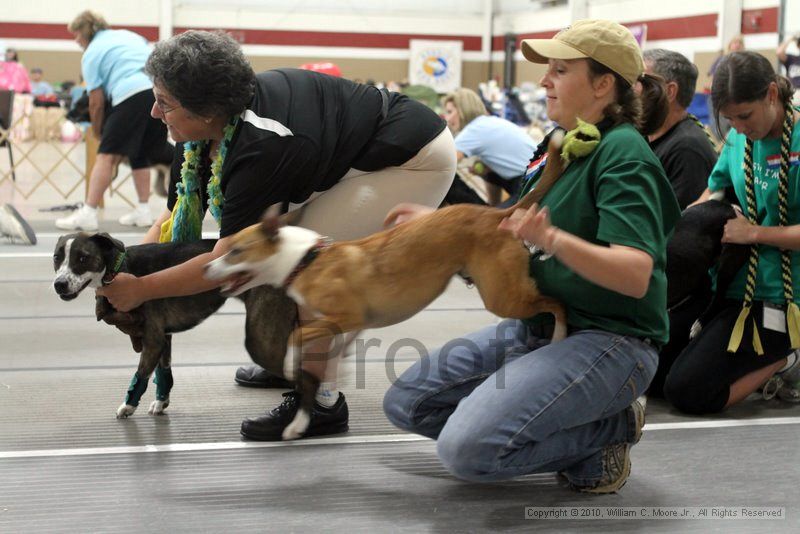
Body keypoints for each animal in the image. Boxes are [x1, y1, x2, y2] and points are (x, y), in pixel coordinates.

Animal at [54, 232, 296, 420]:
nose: (59, 284)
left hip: (262, 338)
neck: (120, 266)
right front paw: (161, 402)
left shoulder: (153, 338)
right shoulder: (163, 337)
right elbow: (163, 372)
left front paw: (128, 405)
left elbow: (141, 373)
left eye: (83, 258)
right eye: (56, 258)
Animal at [206, 133, 568, 440]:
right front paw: (301, 419)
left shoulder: (346, 317)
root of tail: (495, 214)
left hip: (501, 296)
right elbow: (324, 362)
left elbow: (296, 336)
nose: (207, 266)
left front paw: (287, 366)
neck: (306, 258)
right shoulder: (340, 327)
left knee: (556, 303)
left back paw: (560, 335)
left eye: (235, 250)